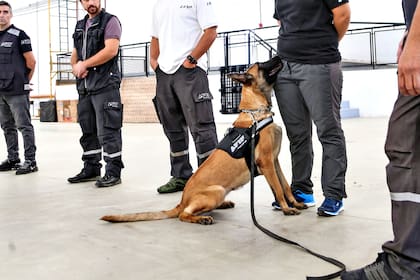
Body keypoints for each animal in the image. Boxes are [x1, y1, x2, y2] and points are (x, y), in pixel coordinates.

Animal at [101, 57, 306, 225]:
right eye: (261, 64)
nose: (279, 56)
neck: (256, 113)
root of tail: (181, 200)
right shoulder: (266, 162)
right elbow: (278, 188)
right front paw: (287, 209)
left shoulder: (274, 161)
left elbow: (285, 185)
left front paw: (295, 203)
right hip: (216, 191)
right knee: (183, 214)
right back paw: (201, 218)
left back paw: (220, 206)